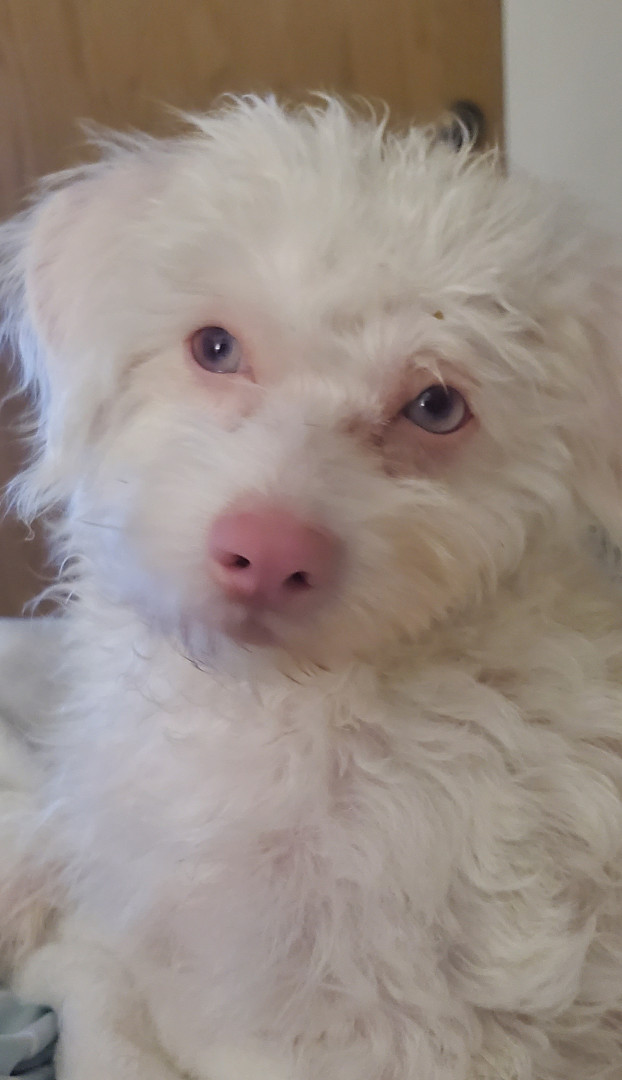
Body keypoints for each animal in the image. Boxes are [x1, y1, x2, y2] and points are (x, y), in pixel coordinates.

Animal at [1, 96, 622, 1080]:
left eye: (436, 407)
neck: (283, 708)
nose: (266, 553)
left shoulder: (416, 1031)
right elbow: (55, 830)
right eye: (215, 347)